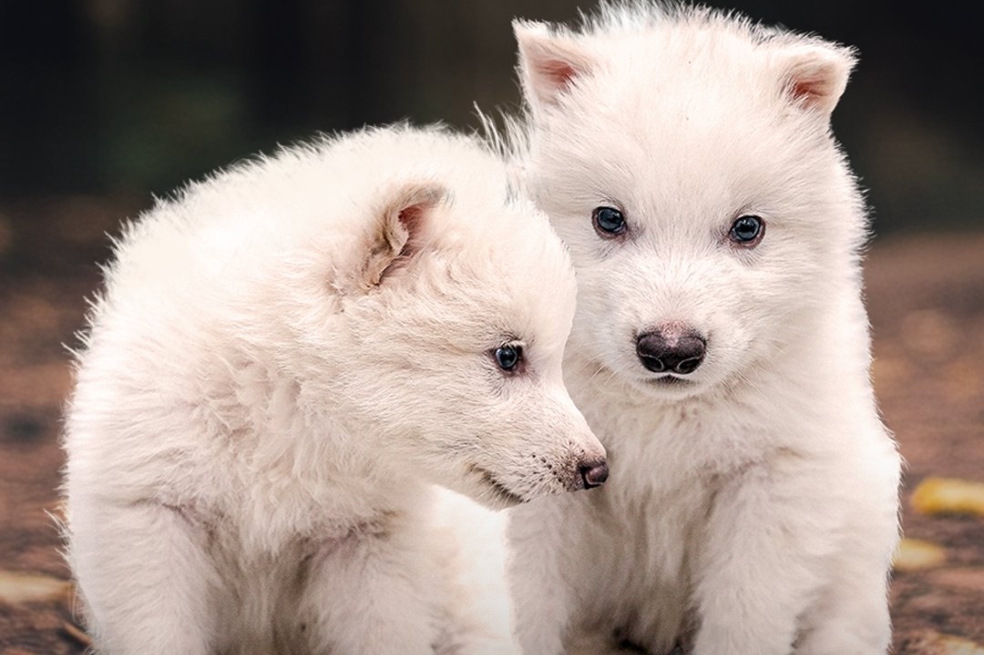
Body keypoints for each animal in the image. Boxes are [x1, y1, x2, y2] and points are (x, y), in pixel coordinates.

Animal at [500, 4, 902, 654]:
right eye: (608, 219)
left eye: (747, 228)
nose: (670, 351)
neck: (662, 416)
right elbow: (525, 600)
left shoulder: (774, 479)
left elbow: (745, 611)